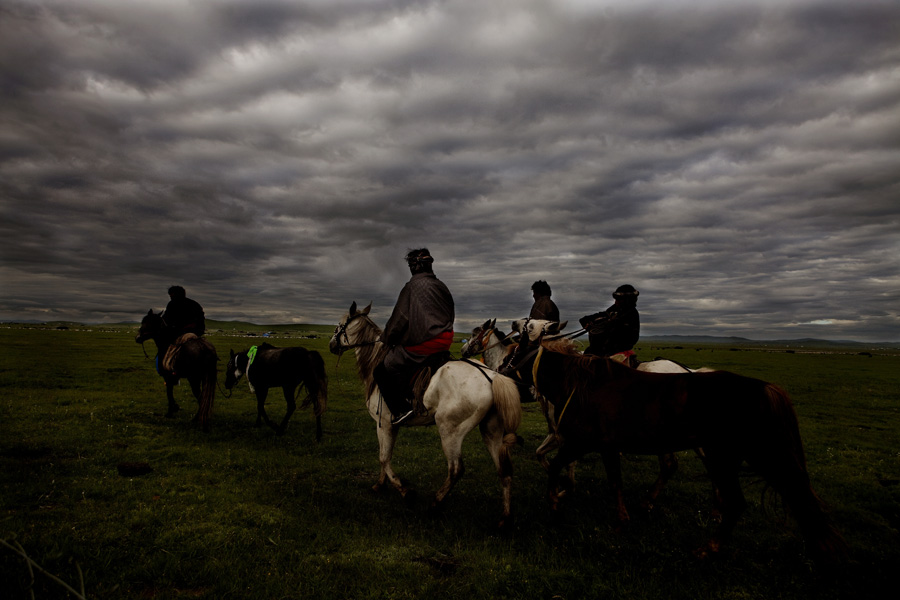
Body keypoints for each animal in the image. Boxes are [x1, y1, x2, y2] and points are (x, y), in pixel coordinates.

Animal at [328, 302, 528, 528]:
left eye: (340, 325)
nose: (332, 344)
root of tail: (492, 376)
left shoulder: (383, 424)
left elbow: (383, 457)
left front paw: (405, 491)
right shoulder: (390, 426)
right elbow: (385, 455)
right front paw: (380, 485)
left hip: (449, 431)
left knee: (455, 469)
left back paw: (435, 503)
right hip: (491, 431)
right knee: (504, 470)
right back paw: (505, 518)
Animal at [502, 318, 848, 568]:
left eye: (522, 339)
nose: (502, 368)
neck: (578, 382)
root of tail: (764, 388)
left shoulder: (579, 441)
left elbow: (555, 468)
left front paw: (556, 504)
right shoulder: (604, 445)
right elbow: (613, 481)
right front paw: (621, 518)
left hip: (744, 454)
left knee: (750, 499)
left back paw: (708, 548)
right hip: (730, 455)